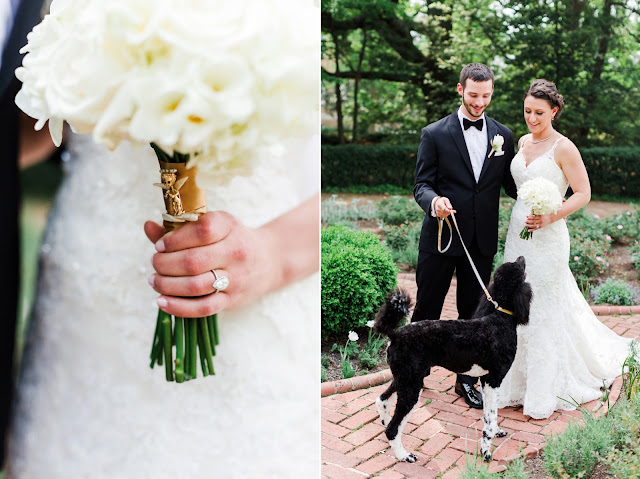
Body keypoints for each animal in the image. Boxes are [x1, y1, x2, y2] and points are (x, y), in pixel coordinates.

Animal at [376, 256, 528, 464]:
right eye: (519, 269)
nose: (522, 257)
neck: (500, 318)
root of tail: (396, 334)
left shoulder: (485, 379)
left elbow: (489, 414)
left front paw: (496, 432)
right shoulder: (494, 379)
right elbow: (490, 418)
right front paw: (486, 451)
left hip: (404, 378)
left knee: (382, 399)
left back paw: (385, 422)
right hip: (412, 385)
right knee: (393, 429)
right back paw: (404, 455)